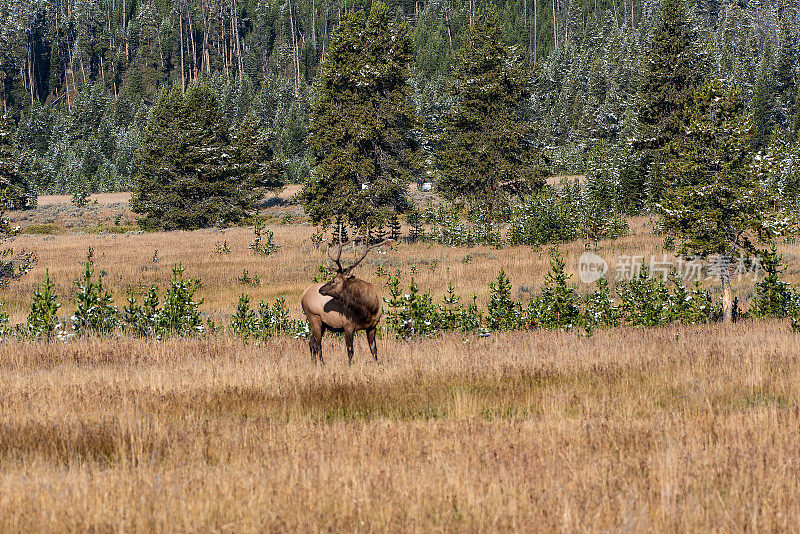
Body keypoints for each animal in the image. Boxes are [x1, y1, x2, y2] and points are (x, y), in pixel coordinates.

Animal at [300, 238, 390, 366]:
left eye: (333, 280)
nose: (321, 289)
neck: (368, 309)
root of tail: (303, 294)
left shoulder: (373, 326)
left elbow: (374, 349)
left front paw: (378, 364)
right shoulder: (348, 326)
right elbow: (350, 351)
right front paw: (350, 366)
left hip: (323, 324)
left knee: (311, 342)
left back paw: (314, 363)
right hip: (314, 318)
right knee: (317, 344)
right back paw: (322, 363)